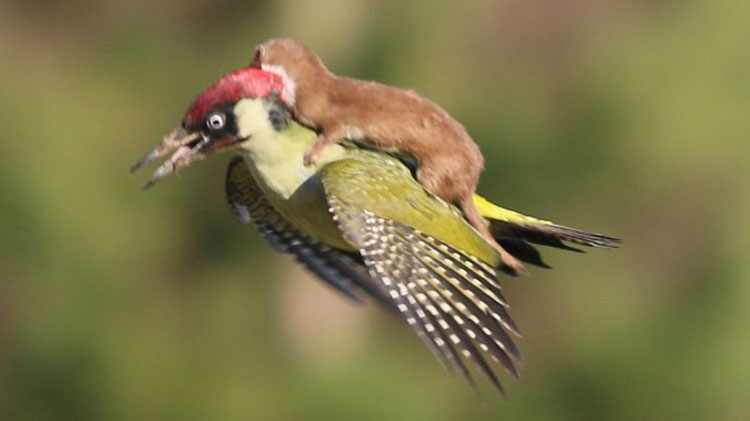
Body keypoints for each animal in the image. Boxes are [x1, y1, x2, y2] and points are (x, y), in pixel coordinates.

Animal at [253, 37, 528, 274]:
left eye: (254, 57)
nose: (249, 62)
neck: (308, 88)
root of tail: (471, 180)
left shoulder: (331, 115)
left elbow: (332, 132)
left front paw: (312, 153)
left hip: (436, 169)